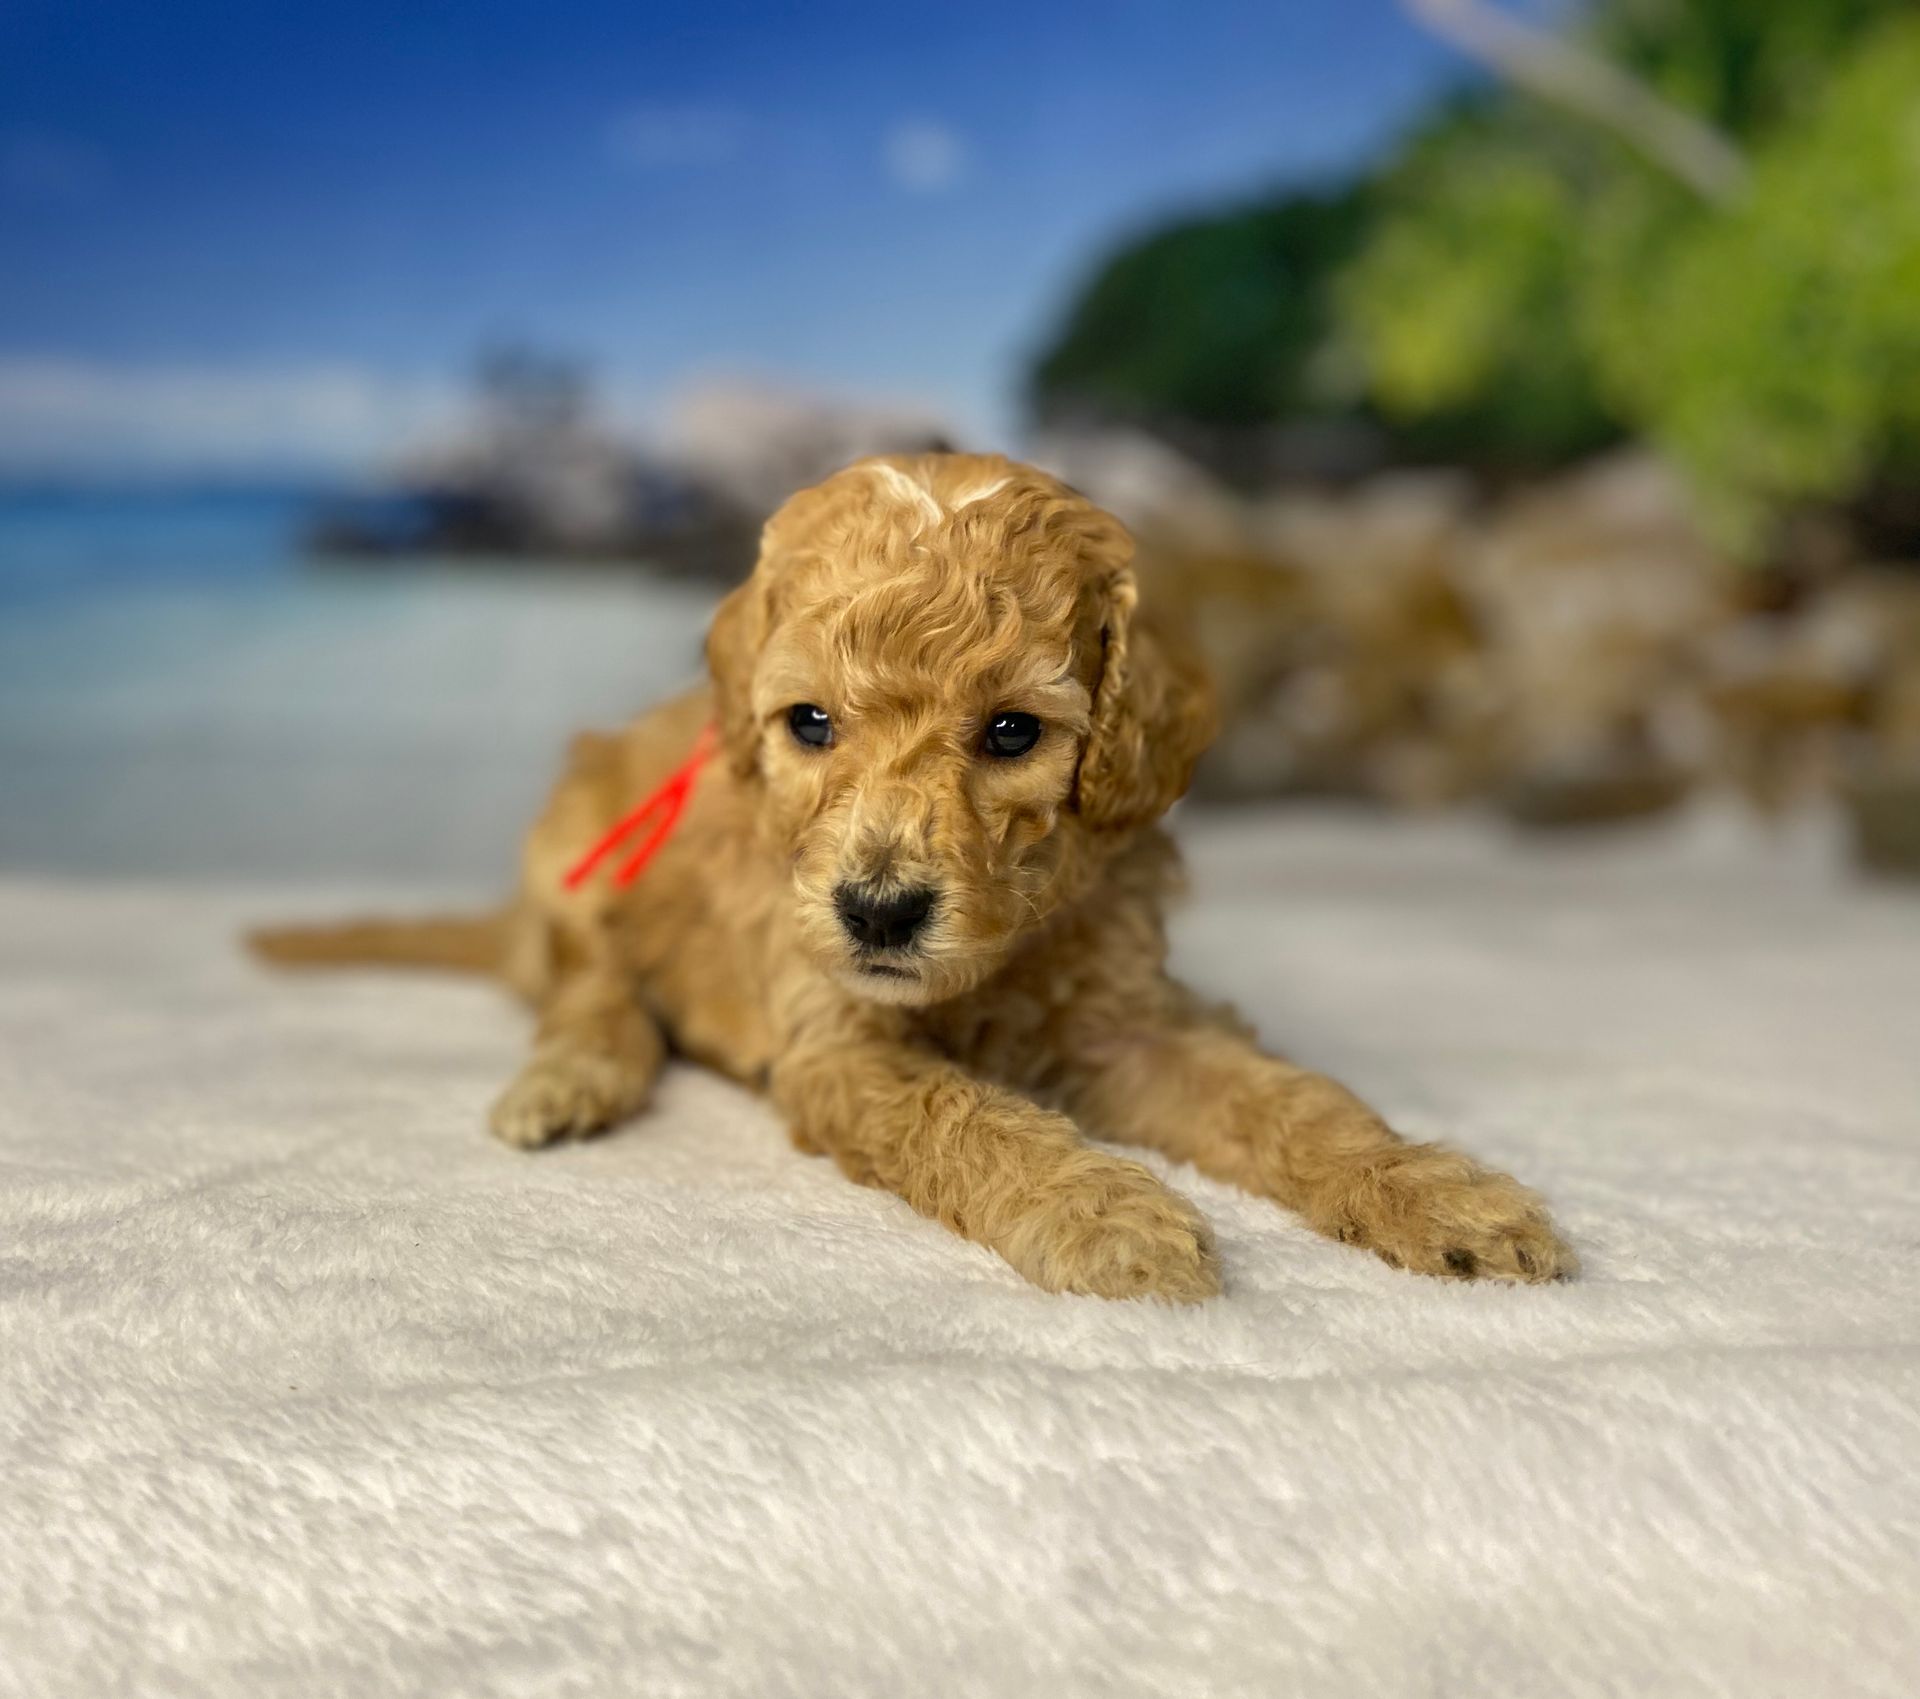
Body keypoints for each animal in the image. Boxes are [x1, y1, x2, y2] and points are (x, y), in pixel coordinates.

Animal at [255, 451, 1574, 1297]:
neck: (1008, 944)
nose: (878, 912)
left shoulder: (1128, 1020)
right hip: (575, 840)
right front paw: (1110, 1213)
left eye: (1011, 733)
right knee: (591, 985)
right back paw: (573, 1077)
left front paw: (1436, 1193)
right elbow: (974, 1118)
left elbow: (1291, 1098)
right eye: (810, 724)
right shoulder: (842, 1041)